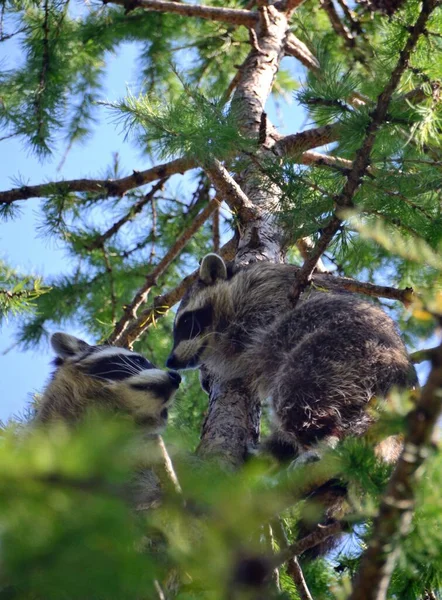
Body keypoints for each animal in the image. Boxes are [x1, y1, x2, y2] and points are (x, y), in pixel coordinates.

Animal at [167, 253, 416, 460]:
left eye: (187, 321)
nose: (171, 361)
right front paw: (206, 372)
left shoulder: (263, 299)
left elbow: (243, 350)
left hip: (344, 349)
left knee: (297, 388)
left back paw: (320, 440)